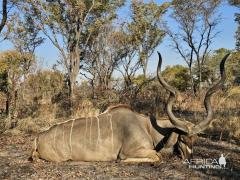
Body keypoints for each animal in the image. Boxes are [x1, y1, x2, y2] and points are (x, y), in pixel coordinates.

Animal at [30, 52, 231, 163]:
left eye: (194, 139)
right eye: (181, 139)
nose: (189, 159)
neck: (148, 128)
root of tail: (39, 137)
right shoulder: (132, 151)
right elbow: (154, 157)